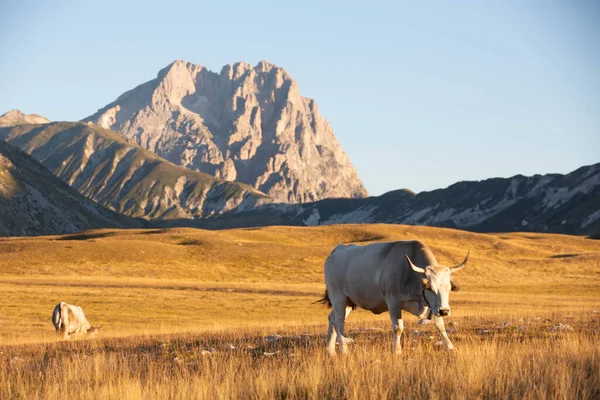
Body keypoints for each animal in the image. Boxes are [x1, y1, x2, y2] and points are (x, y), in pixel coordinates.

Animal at [318, 239, 468, 354]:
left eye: (448, 288)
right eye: (430, 288)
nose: (445, 311)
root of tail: (337, 250)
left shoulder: (433, 305)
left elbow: (440, 325)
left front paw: (449, 347)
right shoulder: (393, 301)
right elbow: (398, 327)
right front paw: (397, 351)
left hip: (349, 302)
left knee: (332, 319)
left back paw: (330, 350)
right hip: (338, 297)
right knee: (339, 322)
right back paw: (343, 350)